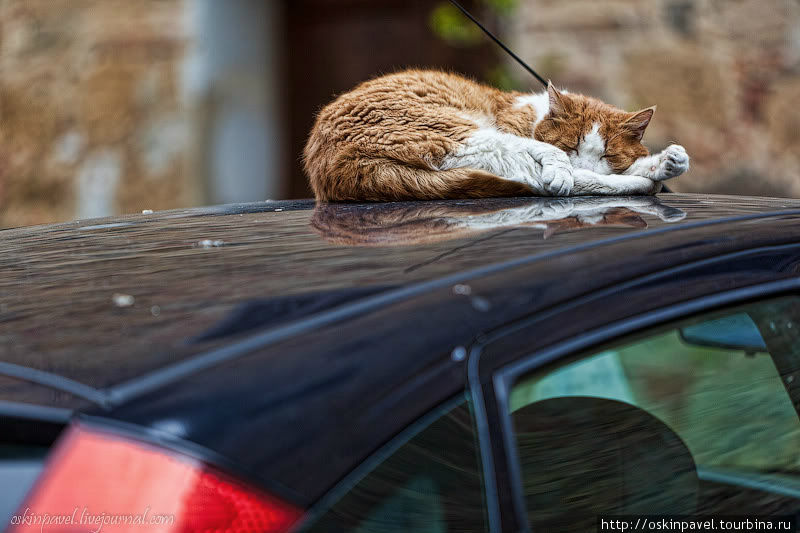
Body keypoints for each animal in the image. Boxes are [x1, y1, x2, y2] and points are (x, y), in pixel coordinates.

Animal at [304, 70, 692, 202]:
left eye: (608, 155)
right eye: (571, 145)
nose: (585, 162)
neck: (533, 114)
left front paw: (662, 162)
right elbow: (561, 164)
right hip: (455, 132)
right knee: (538, 176)